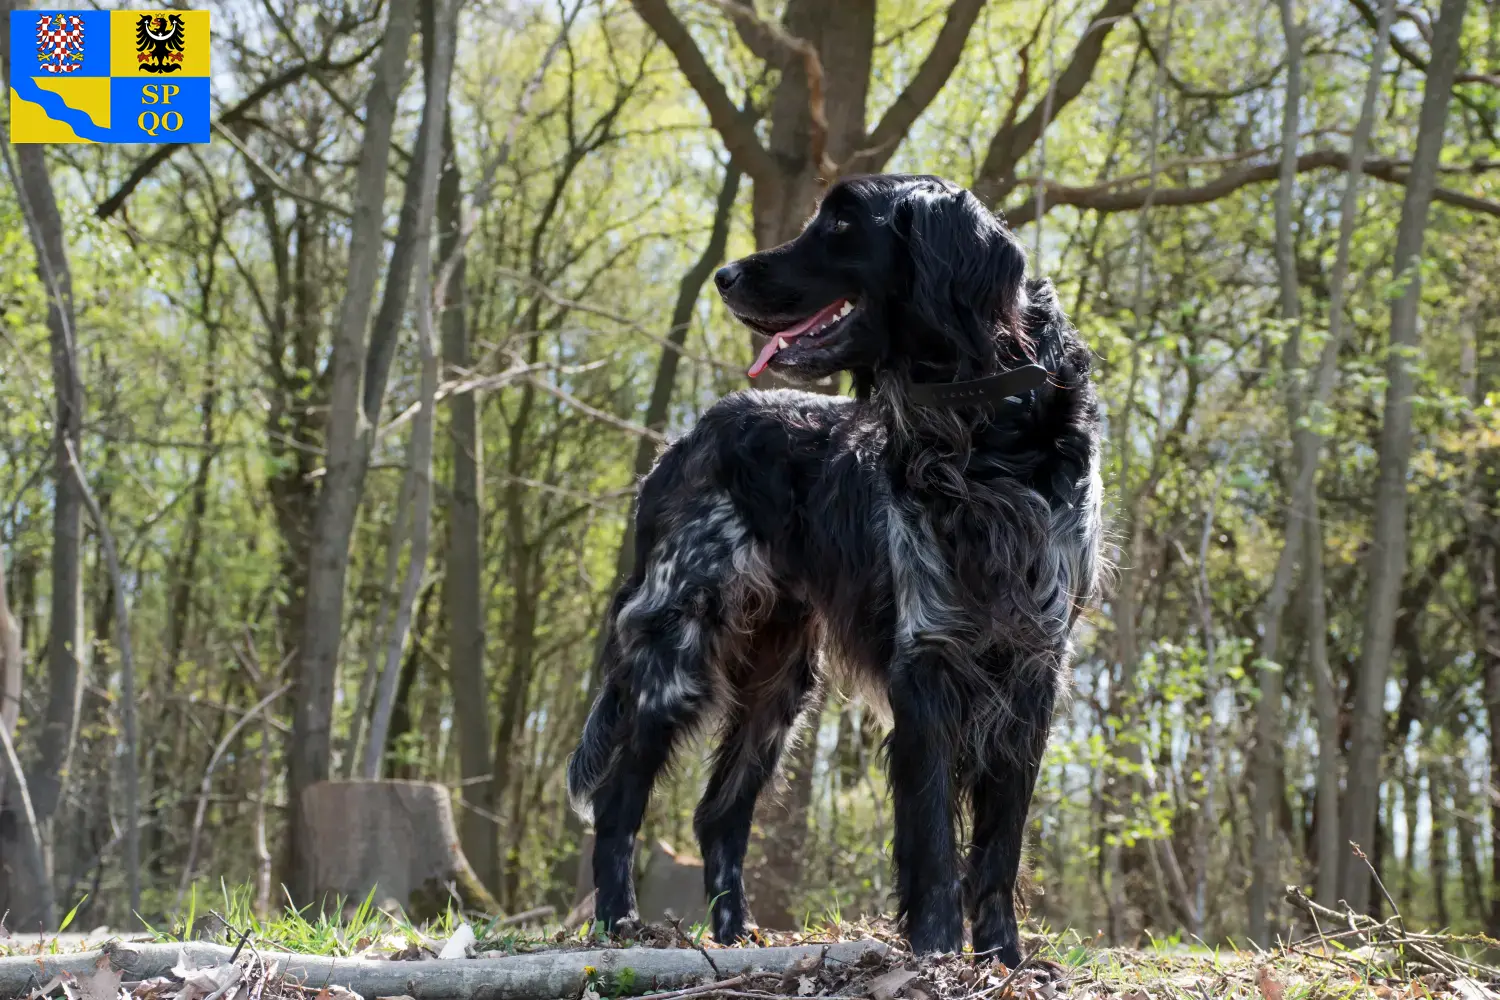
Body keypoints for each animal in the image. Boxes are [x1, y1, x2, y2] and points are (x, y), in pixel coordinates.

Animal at [567, 173, 1110, 971]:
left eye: (844, 223)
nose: (726, 275)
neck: (985, 437)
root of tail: (684, 441)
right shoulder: (928, 657)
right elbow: (934, 840)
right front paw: (938, 953)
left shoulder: (1034, 664)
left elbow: (999, 846)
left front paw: (1001, 960)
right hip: (676, 655)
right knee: (617, 801)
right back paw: (617, 922)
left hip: (780, 687)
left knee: (717, 815)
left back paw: (736, 938)